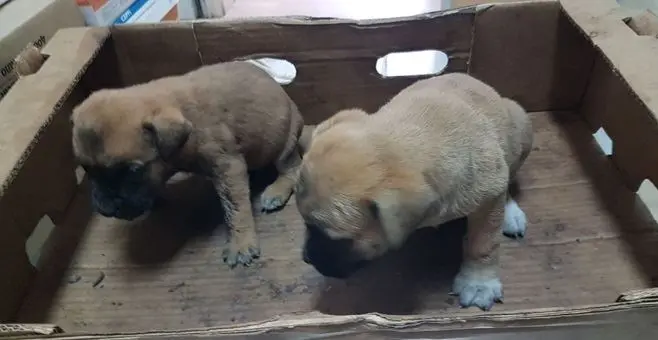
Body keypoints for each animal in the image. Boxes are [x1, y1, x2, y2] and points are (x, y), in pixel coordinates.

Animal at [72, 61, 304, 268]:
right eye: (87, 170)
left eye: (133, 171)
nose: (107, 206)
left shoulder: (227, 166)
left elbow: (236, 207)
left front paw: (240, 243)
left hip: (283, 144)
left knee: (290, 167)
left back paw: (276, 191)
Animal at [294, 72, 532, 310]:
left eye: (338, 239)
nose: (306, 258)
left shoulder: (490, 192)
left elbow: (484, 242)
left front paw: (479, 283)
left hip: (520, 129)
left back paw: (510, 214)